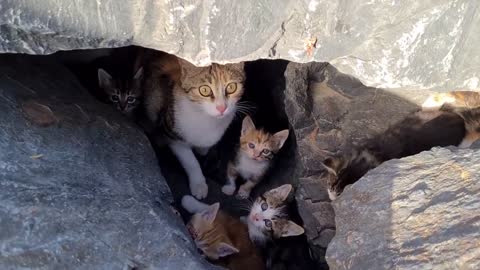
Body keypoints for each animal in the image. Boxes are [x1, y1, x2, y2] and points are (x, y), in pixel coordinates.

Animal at [143, 53, 246, 199]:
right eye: (204, 90)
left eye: (232, 87)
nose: (222, 108)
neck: (205, 118)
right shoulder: (174, 136)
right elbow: (190, 161)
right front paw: (199, 184)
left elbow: (205, 147)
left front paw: (202, 151)